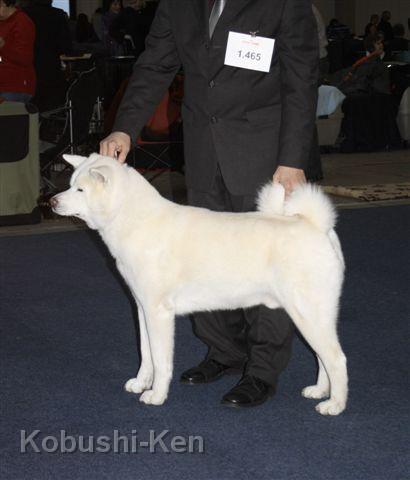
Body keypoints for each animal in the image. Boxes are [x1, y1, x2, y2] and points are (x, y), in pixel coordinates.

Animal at [49, 152, 348, 414]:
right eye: (71, 184)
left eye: (80, 190)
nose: (51, 202)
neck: (134, 219)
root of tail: (316, 225)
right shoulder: (142, 308)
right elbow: (146, 353)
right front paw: (141, 383)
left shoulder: (159, 313)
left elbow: (160, 359)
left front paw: (156, 395)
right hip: (312, 316)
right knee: (323, 358)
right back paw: (320, 391)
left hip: (308, 314)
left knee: (336, 359)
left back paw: (334, 405)